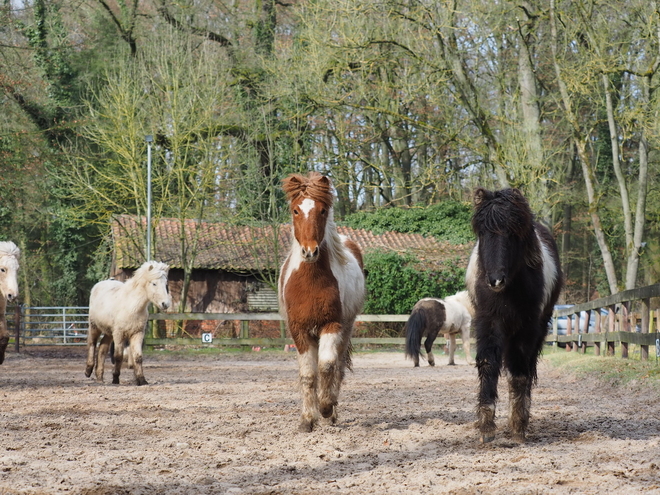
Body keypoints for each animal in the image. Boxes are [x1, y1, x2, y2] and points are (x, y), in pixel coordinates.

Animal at [278, 172, 366, 432]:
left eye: (323, 210)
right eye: (296, 210)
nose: (310, 252)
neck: (311, 282)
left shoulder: (332, 325)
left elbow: (327, 366)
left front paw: (326, 408)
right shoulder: (299, 330)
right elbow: (308, 375)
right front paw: (307, 419)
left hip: (346, 328)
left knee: (337, 367)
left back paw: (331, 412)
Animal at [464, 189, 564, 446]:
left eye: (512, 233)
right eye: (482, 232)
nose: (495, 280)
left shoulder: (527, 328)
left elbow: (519, 372)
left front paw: (518, 427)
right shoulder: (488, 322)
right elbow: (488, 365)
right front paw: (486, 428)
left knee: (524, 368)